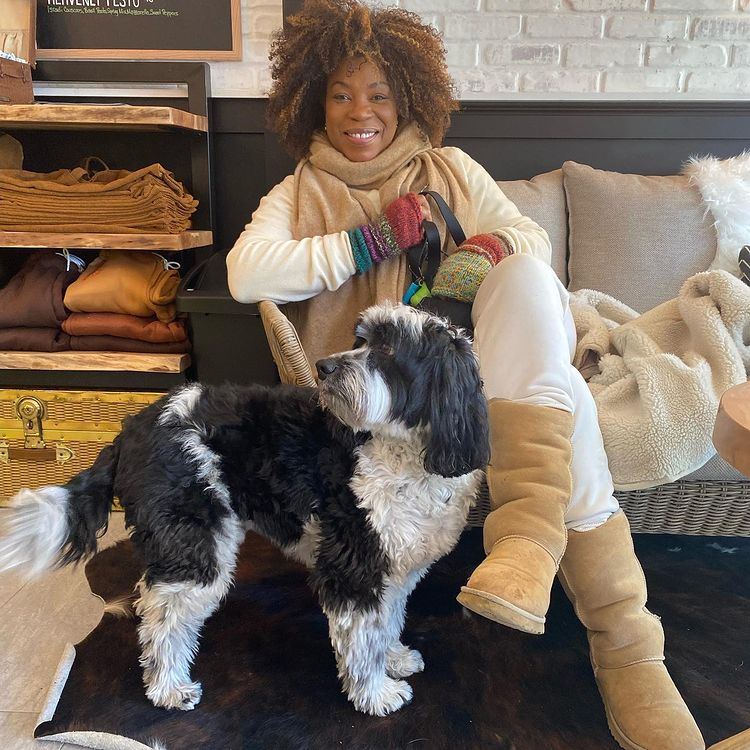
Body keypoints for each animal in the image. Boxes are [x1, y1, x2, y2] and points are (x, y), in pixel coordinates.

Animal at [0, 304, 490, 716]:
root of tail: (133, 428)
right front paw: (375, 694)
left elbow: (387, 621)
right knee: (167, 618)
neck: (404, 454)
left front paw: (394, 658)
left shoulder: (395, 567)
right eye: (361, 339)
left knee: (152, 596)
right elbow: (363, 638)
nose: (325, 366)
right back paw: (168, 688)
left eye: (387, 350)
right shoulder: (353, 565)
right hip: (196, 542)